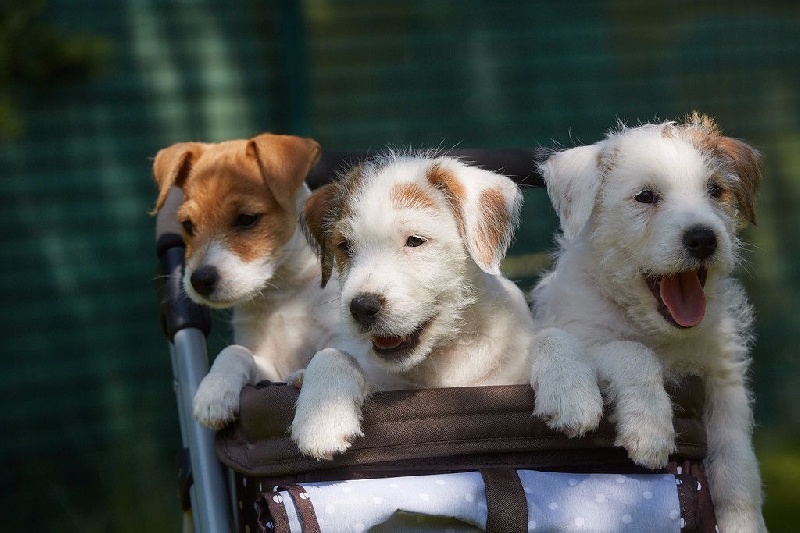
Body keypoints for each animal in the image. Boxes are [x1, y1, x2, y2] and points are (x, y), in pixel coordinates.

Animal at [290, 152, 600, 460]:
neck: (441, 362)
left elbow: (552, 335)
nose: (362, 307)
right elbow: (331, 354)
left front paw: (571, 393)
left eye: (415, 241)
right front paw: (321, 419)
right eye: (345, 247)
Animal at [532, 111, 768, 528]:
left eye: (716, 190)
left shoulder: (725, 381)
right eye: (645, 196)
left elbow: (737, 464)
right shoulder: (591, 337)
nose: (703, 238)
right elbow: (633, 353)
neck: (656, 329)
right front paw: (650, 429)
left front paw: (743, 522)